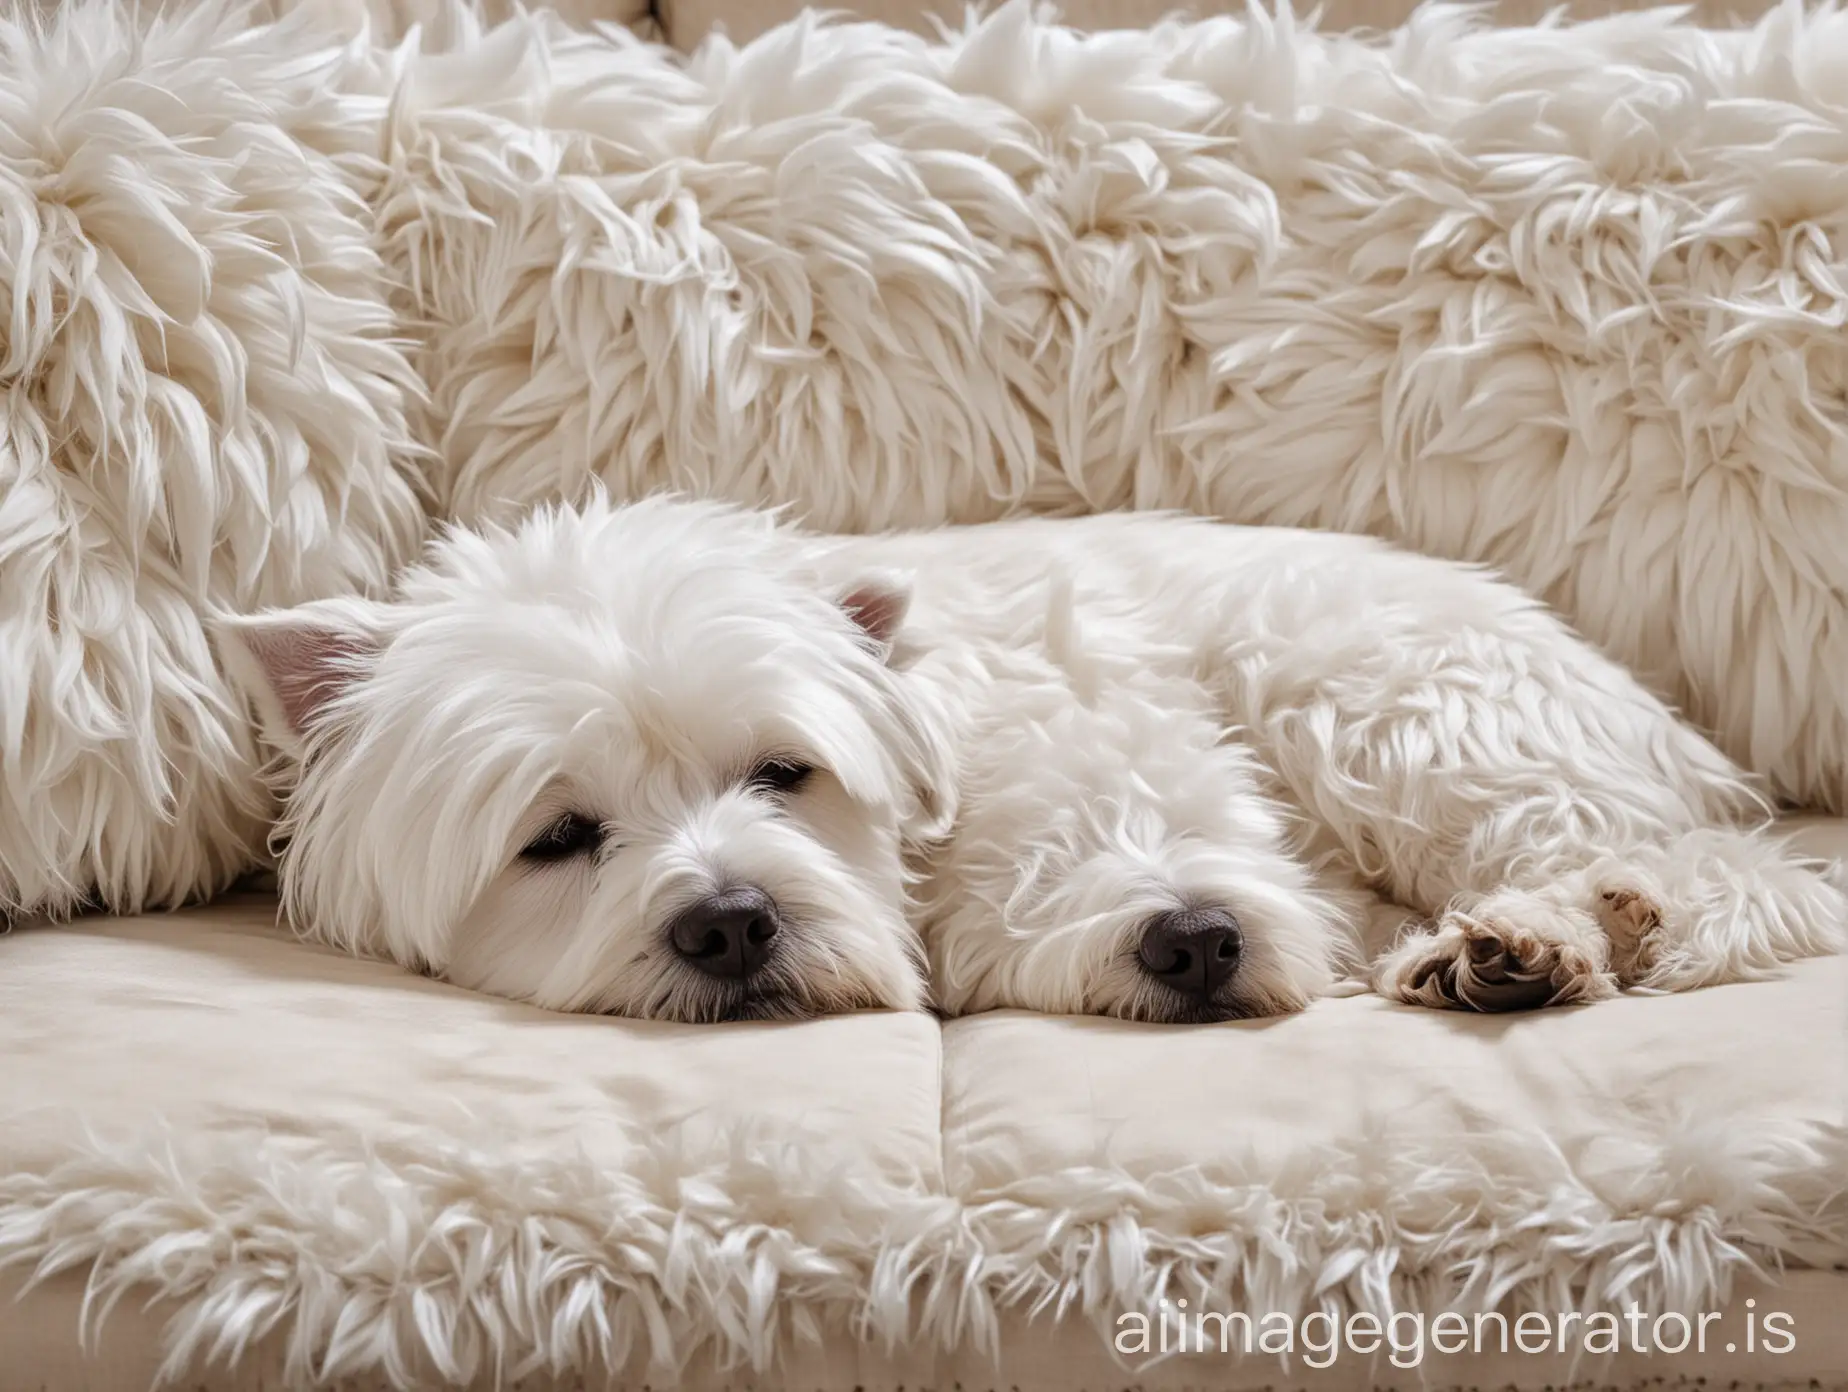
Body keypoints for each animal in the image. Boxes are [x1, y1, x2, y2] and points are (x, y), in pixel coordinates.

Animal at [219, 499, 1848, 1020]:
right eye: (557, 840)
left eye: (781, 774)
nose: (733, 923)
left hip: (1393, 709)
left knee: (1680, 871)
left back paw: (1531, 941)